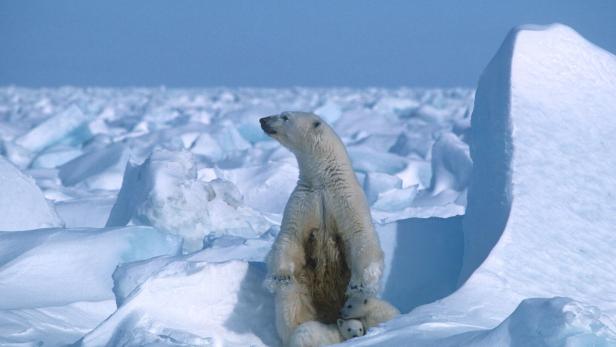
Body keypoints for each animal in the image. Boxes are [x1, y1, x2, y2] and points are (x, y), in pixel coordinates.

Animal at [260, 112, 384, 346]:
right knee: (291, 304)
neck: (323, 180)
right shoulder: (304, 201)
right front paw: (281, 276)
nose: (263, 120)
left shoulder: (346, 200)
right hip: (304, 290)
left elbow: (360, 235)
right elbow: (290, 237)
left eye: (285, 116)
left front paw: (358, 283)